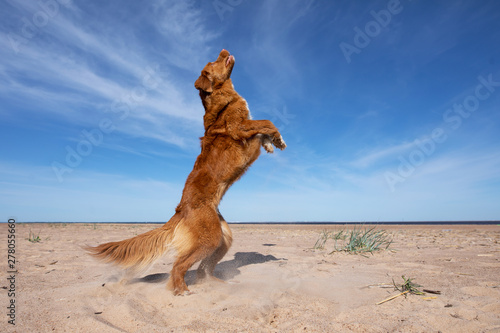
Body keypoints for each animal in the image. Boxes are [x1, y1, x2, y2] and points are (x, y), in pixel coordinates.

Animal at [87, 48, 286, 294]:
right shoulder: (239, 128)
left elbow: (263, 129)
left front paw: (271, 143)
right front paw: (277, 138)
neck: (222, 97)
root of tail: (180, 210)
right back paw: (181, 290)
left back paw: (217, 284)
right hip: (209, 238)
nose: (224, 50)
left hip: (223, 238)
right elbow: (267, 122)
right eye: (214, 62)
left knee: (202, 270)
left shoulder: (247, 130)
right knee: (179, 265)